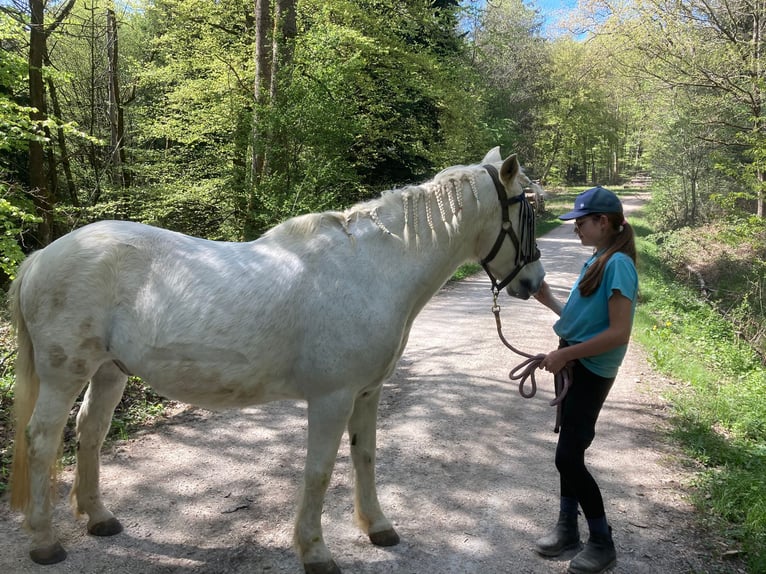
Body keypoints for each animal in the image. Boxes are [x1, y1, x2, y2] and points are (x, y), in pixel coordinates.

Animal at [8, 148, 545, 574]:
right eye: (527, 209)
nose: (533, 282)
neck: (372, 271)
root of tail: (41, 257)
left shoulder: (367, 392)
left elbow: (365, 457)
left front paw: (378, 527)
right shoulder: (332, 398)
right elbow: (319, 470)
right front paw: (316, 553)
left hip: (108, 373)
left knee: (90, 433)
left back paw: (100, 519)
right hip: (63, 376)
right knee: (42, 441)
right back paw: (44, 542)